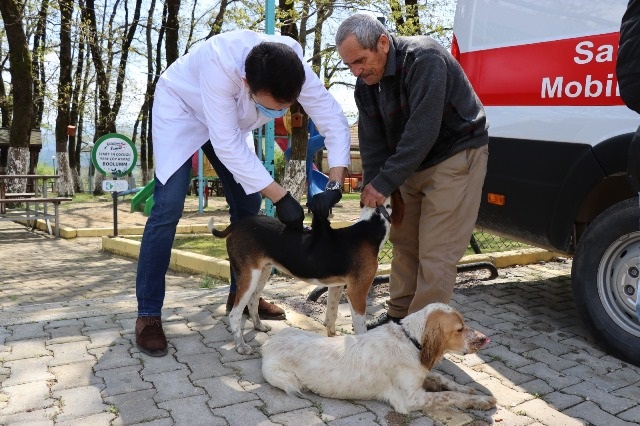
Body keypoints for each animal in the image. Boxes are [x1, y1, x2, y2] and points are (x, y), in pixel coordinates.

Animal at [209, 191, 400, 354]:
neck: (369, 229)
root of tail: (237, 225)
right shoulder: (357, 291)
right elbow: (360, 327)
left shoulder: (337, 286)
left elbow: (331, 315)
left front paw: (333, 337)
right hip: (250, 276)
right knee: (234, 314)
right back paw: (241, 346)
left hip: (263, 272)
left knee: (253, 301)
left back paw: (259, 326)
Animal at [260, 302, 496, 412]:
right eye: (459, 329)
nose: (484, 338)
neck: (410, 340)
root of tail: (267, 344)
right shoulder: (410, 399)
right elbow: (449, 396)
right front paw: (482, 401)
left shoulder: (419, 376)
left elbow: (443, 379)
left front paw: (468, 389)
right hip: (282, 376)